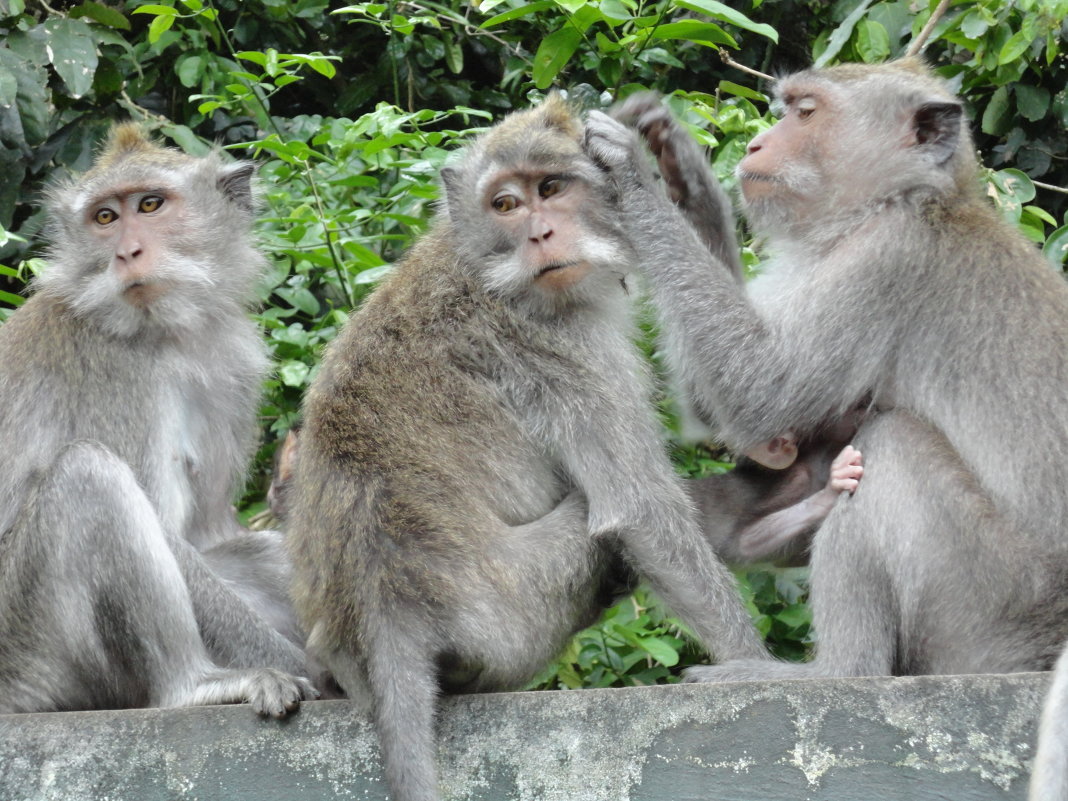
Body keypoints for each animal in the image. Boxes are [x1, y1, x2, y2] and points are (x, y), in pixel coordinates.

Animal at [0, 127, 313, 721]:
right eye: (105, 217)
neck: (165, 334)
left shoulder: (233, 364)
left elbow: (209, 534)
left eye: (150, 205)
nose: (127, 252)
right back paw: (192, 685)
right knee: (88, 475)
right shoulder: (112, 374)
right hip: (30, 650)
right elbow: (167, 532)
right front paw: (318, 672)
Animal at [290, 98, 777, 801]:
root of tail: (388, 603)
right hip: (519, 612)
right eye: (506, 204)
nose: (541, 235)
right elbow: (641, 509)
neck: (484, 265)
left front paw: (677, 164)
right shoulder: (563, 351)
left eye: (550, 189)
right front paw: (759, 667)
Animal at [593, 57, 1068, 683]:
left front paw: (630, 175)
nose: (756, 144)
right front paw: (683, 168)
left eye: (806, 113)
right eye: (787, 109)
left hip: (994, 608)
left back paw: (835, 671)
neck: (898, 200)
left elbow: (759, 395)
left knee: (894, 444)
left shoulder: (885, 260)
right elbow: (741, 417)